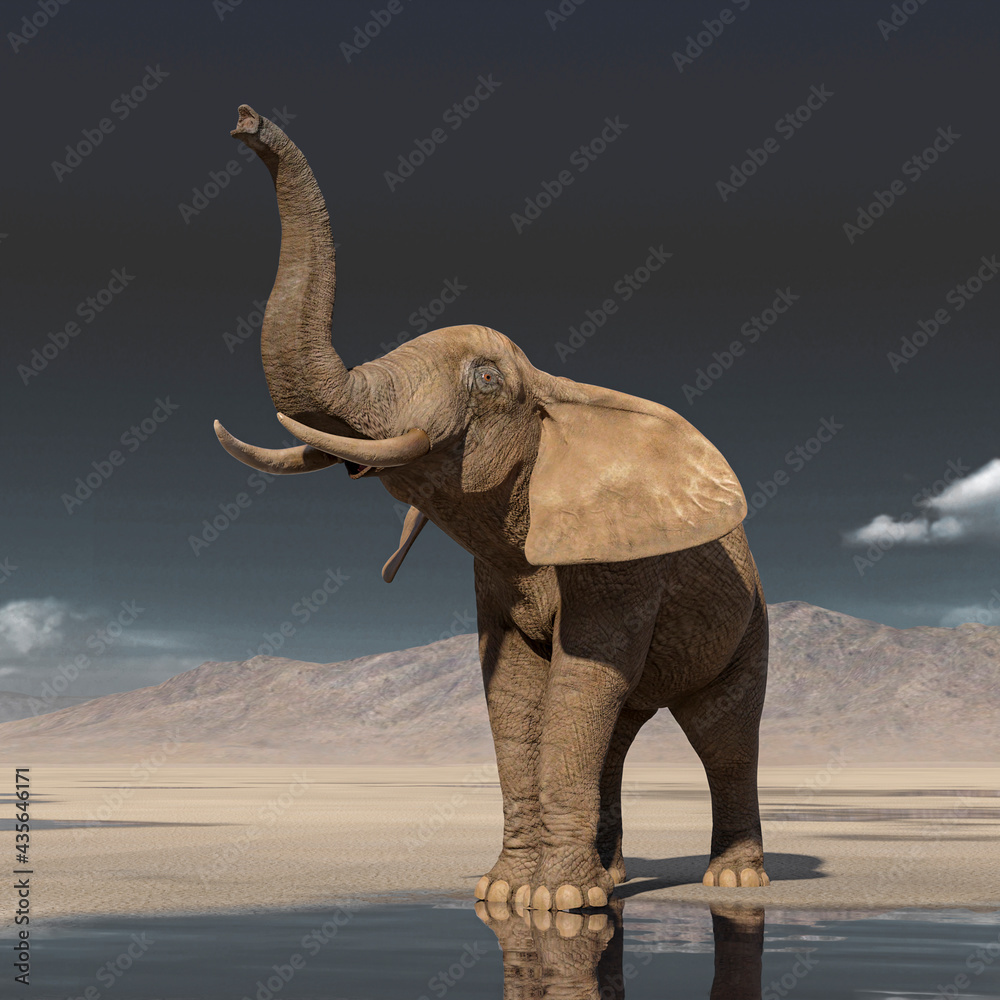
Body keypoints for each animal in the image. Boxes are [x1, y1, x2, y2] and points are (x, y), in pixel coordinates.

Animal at [214, 105, 769, 912]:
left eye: (484, 379)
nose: (244, 122)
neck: (551, 391)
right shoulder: (495, 575)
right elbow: (514, 691)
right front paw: (509, 894)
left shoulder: (618, 563)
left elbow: (578, 682)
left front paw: (559, 906)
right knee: (618, 726)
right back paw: (612, 876)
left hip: (751, 620)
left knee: (722, 731)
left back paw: (734, 880)